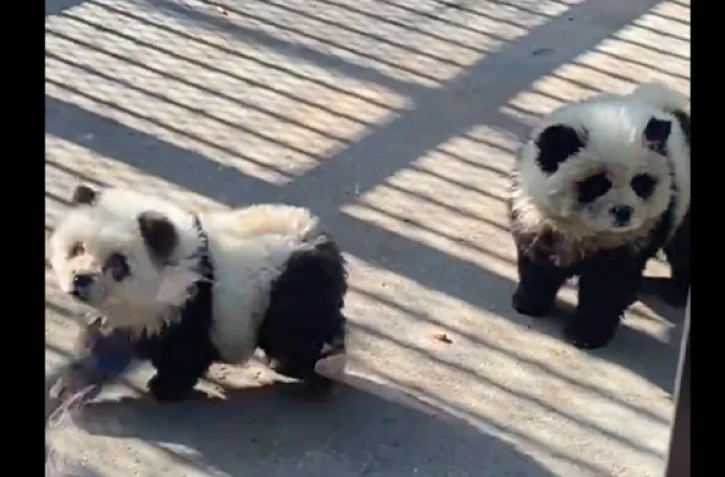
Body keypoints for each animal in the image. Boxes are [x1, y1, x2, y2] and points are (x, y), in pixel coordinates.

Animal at [48, 185, 348, 401]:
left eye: (117, 263)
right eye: (77, 248)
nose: (80, 279)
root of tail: (319, 238)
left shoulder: (190, 306)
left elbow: (185, 354)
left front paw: (165, 387)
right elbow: (100, 349)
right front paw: (66, 386)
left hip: (289, 288)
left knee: (301, 337)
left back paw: (322, 370)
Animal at [508, 82, 690, 350]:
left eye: (640, 183)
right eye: (597, 184)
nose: (623, 212)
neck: (585, 230)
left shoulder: (632, 238)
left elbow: (608, 285)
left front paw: (585, 334)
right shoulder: (537, 215)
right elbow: (537, 261)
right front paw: (529, 303)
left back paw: (671, 290)